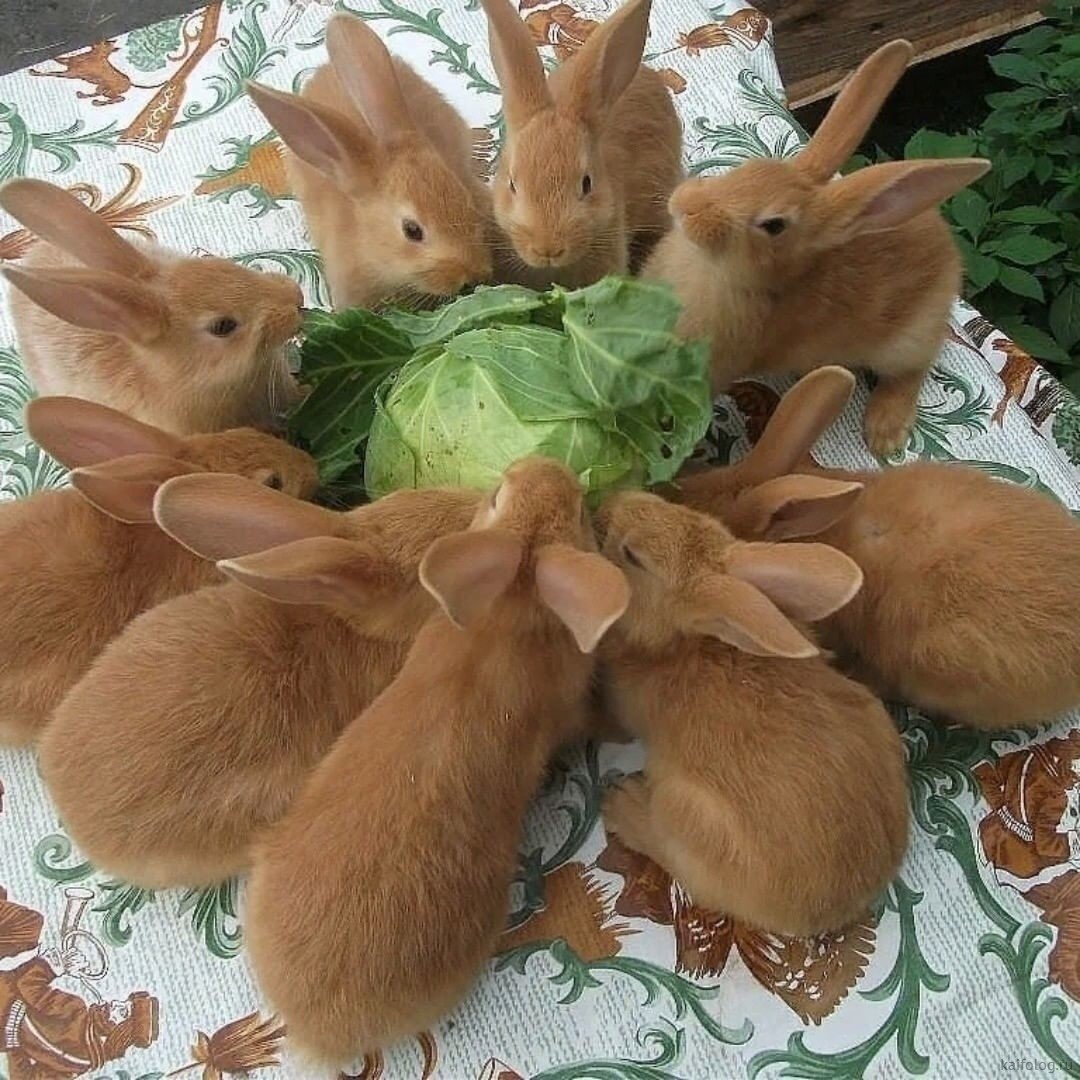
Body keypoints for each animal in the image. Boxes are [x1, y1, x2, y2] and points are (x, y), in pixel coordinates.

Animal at [595, 490, 909, 937]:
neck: (686, 643)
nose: (608, 504)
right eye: (685, 510)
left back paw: (624, 804)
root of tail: (836, 910)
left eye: (632, 556)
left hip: (685, 813)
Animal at [641, 38, 990, 456]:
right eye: (747, 169)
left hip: (906, 338)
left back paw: (884, 433)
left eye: (774, 225)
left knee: (913, 368)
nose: (684, 204)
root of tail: (950, 253)